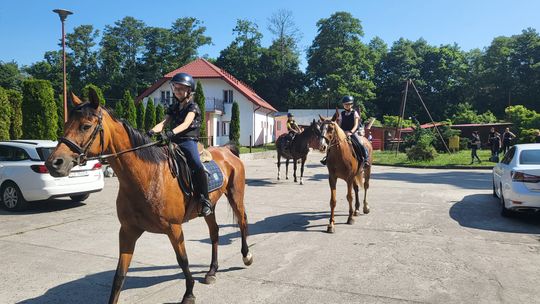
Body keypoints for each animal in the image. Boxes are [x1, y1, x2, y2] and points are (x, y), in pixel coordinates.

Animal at [44, 88, 253, 304]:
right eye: (66, 124)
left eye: (86, 126)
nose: (54, 163)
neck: (147, 177)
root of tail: (226, 151)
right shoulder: (127, 231)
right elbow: (119, 275)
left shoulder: (174, 229)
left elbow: (183, 260)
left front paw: (188, 293)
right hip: (209, 207)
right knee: (214, 231)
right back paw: (212, 271)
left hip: (235, 196)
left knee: (242, 221)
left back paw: (246, 256)